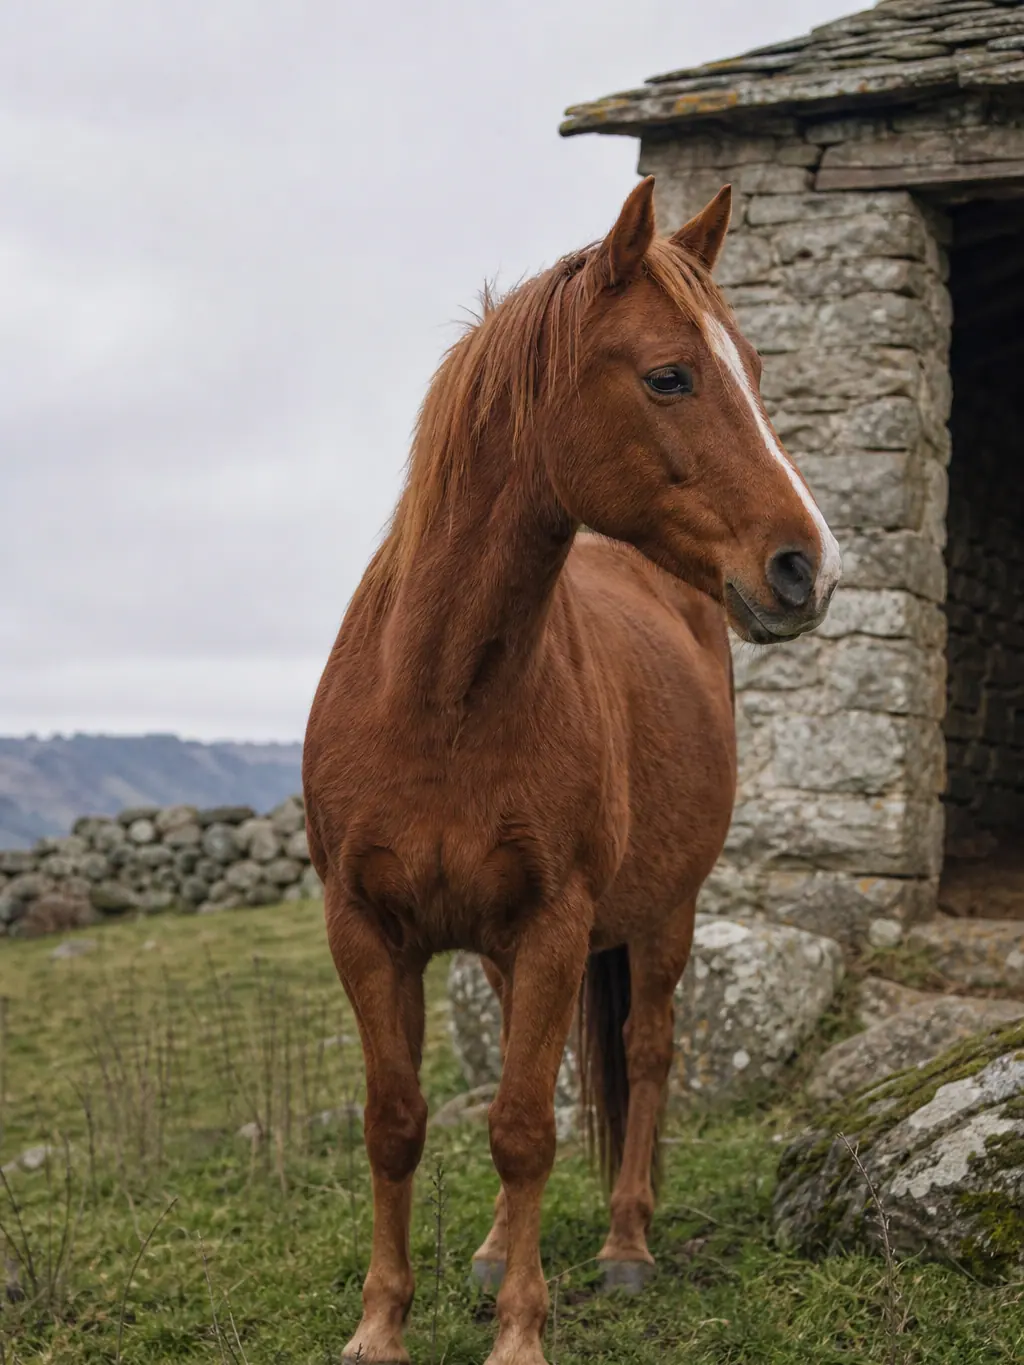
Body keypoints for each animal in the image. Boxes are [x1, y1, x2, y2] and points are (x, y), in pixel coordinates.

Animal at [303, 177, 841, 1365]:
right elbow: (397, 1123)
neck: (439, 698)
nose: (808, 567)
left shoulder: (558, 922)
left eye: (755, 368)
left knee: (644, 1053)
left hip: (664, 915)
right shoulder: (368, 927)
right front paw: (381, 1323)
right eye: (670, 375)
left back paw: (625, 1245)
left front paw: (520, 1332)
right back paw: (499, 1248)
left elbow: (521, 1131)